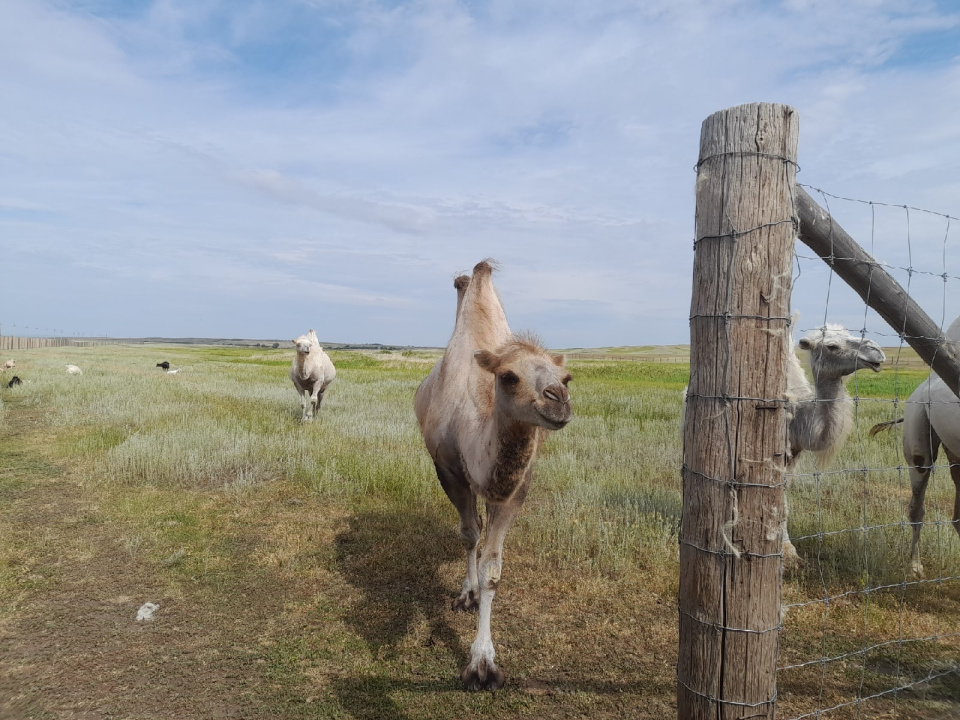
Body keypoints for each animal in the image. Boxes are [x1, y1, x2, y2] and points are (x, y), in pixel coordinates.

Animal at [415, 260, 572, 691]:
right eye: (509, 377)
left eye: (566, 379)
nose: (560, 401)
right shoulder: (449, 470)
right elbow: (469, 536)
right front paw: (467, 598)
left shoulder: (514, 487)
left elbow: (494, 570)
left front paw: (483, 663)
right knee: (471, 531)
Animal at [781, 323, 886, 567]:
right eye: (832, 346)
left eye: (848, 334)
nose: (876, 351)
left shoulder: (793, 453)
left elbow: (783, 504)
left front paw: (789, 553)